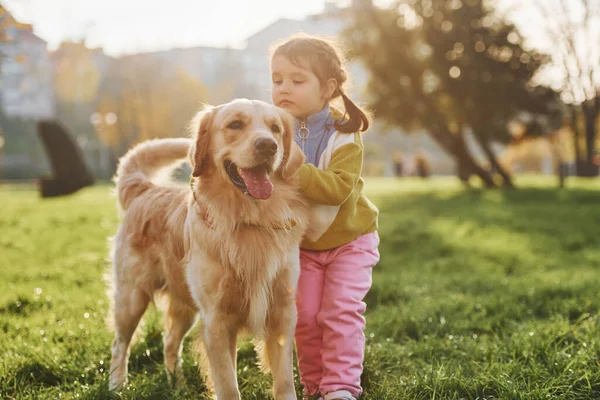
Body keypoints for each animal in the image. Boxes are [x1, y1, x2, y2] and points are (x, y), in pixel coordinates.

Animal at [105, 98, 308, 398]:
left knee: (169, 342)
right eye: (235, 124)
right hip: (131, 298)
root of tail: (146, 189)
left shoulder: (282, 313)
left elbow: (284, 383)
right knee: (120, 344)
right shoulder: (217, 321)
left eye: (275, 128)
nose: (268, 146)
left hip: (184, 306)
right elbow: (228, 385)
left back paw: (178, 385)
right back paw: (117, 385)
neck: (247, 221)